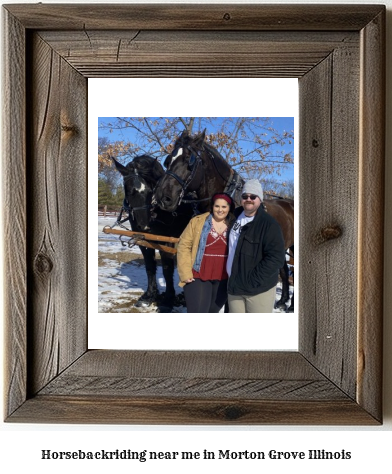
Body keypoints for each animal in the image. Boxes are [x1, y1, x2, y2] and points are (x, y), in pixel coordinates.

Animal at [112, 154, 194, 312]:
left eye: (151, 190)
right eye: (129, 191)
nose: (144, 226)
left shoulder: (167, 242)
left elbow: (167, 270)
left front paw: (168, 300)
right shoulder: (143, 242)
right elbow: (150, 267)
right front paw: (149, 296)